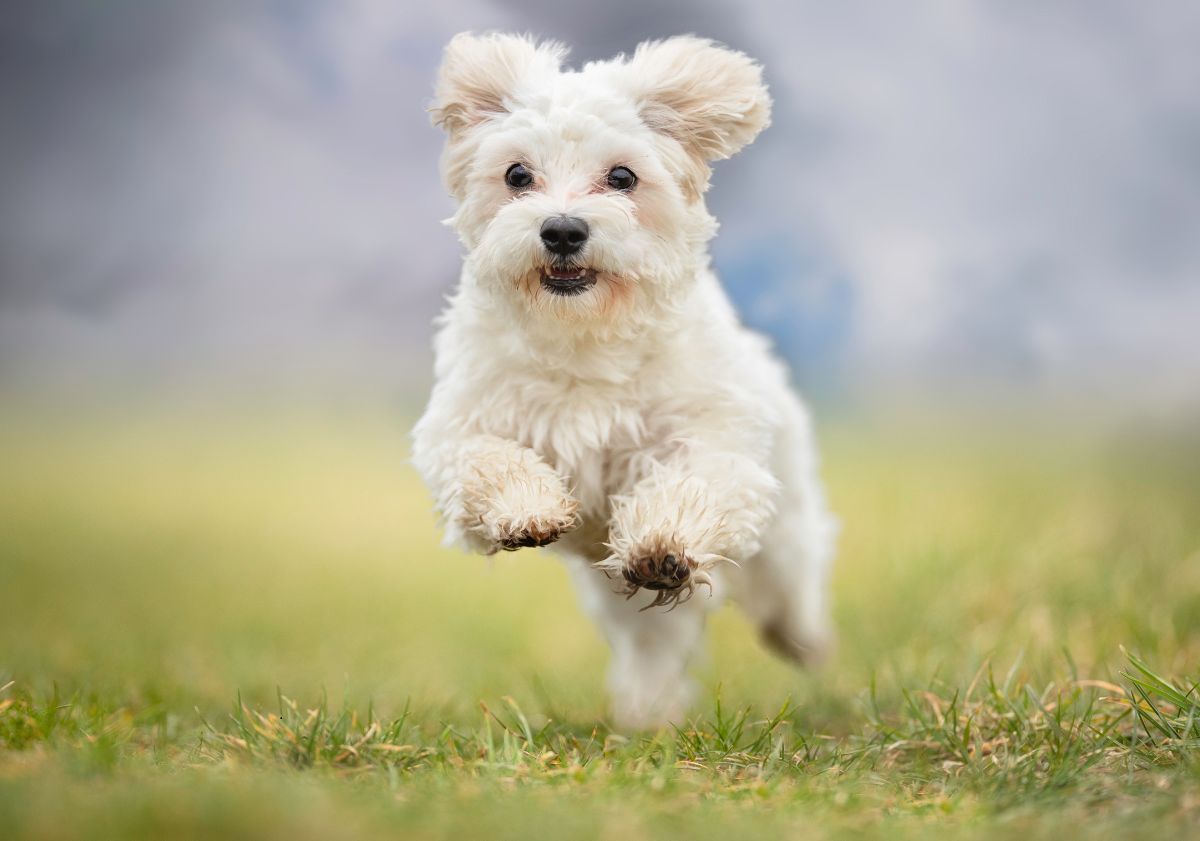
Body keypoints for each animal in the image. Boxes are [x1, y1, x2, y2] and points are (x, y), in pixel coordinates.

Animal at [412, 32, 835, 729]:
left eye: (622, 177)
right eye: (517, 175)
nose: (562, 229)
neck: (584, 331)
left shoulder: (711, 438)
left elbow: (693, 481)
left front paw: (662, 543)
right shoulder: (459, 425)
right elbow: (486, 460)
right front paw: (527, 508)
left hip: (783, 531)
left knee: (790, 586)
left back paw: (803, 639)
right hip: (614, 595)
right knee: (651, 644)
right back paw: (648, 710)